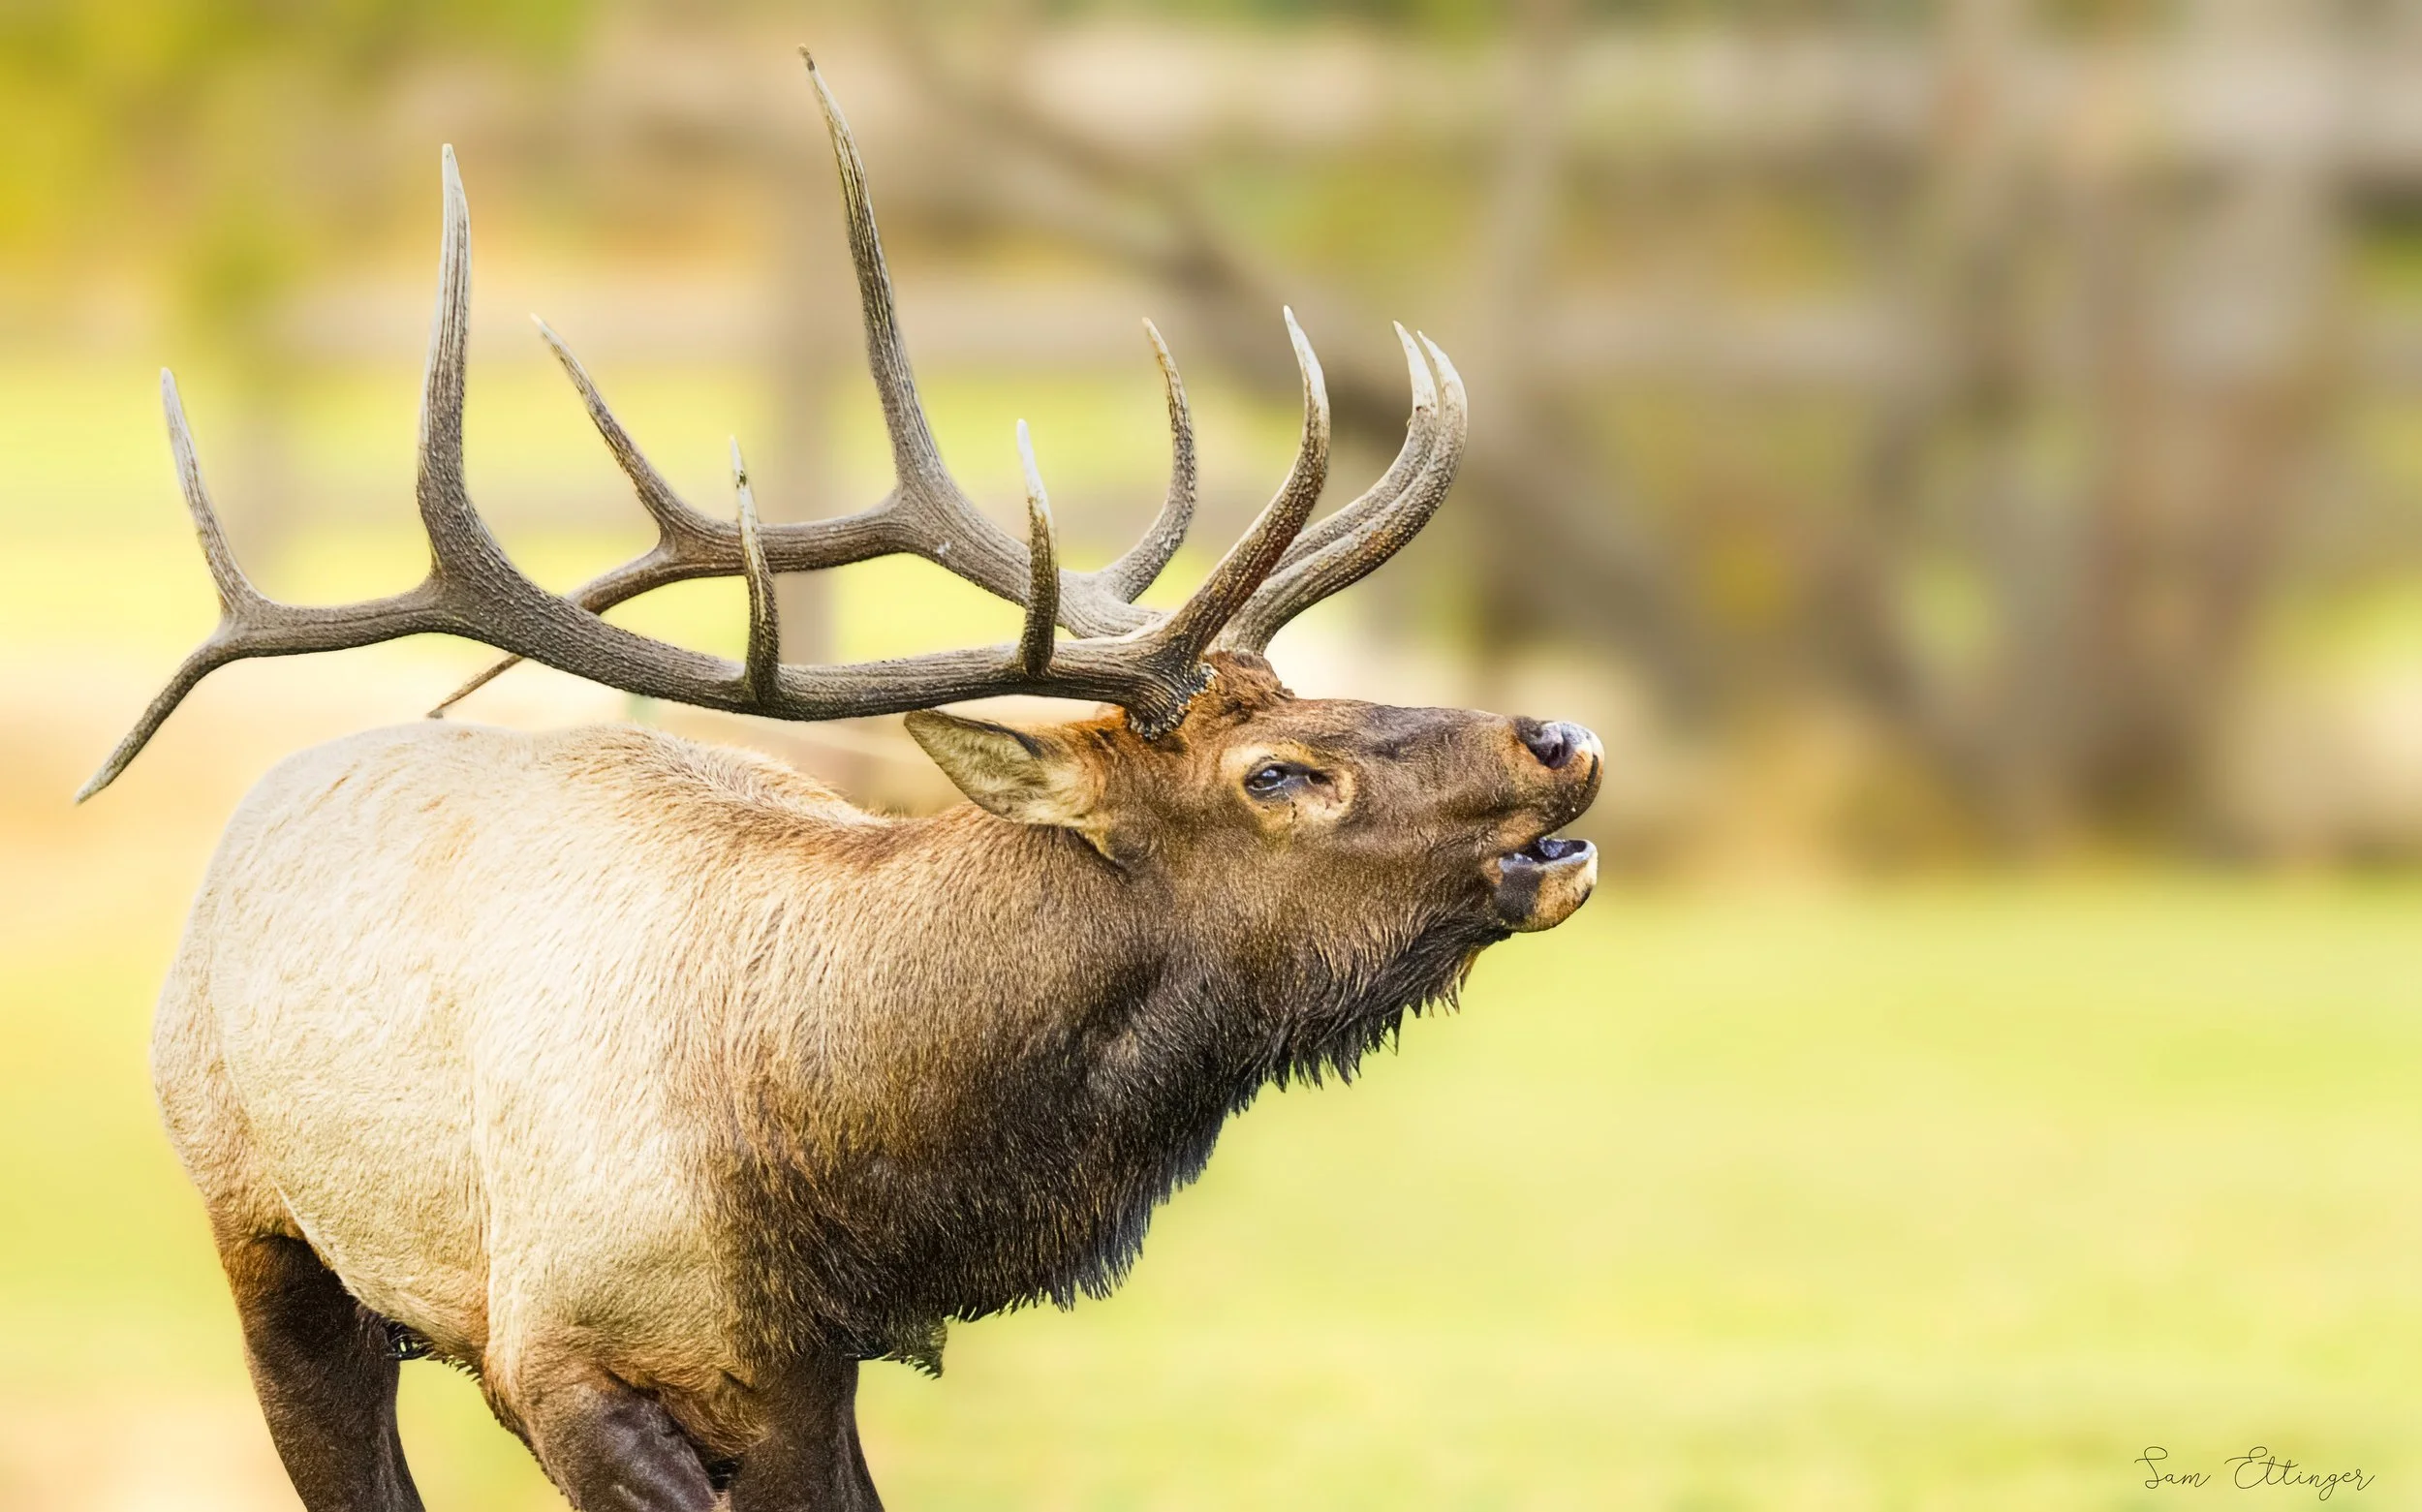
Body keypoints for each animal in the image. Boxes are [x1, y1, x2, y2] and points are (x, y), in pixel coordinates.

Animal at [82, 55, 1602, 1512]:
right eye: (1277, 770)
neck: (833, 1183)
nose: (1562, 738)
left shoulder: (804, 1369)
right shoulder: (552, 1351)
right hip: (263, 1224)